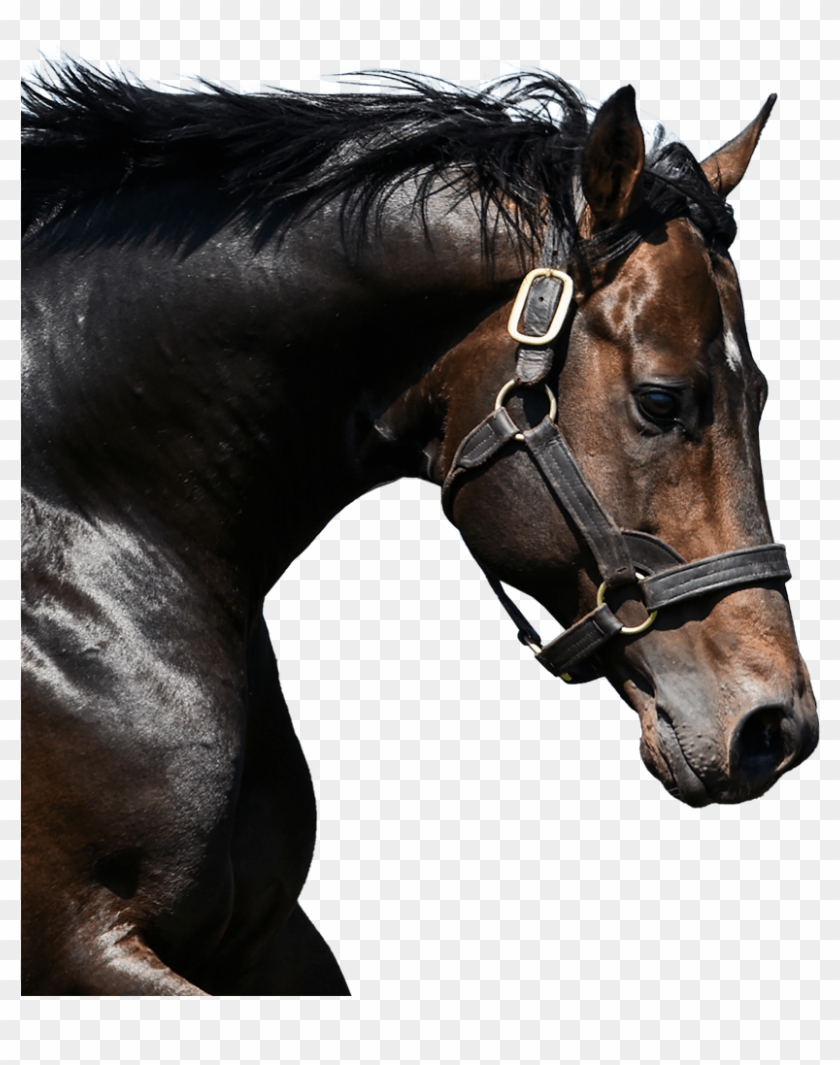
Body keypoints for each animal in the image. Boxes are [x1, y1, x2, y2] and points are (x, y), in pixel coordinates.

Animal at [21, 63, 817, 996]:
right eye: (662, 399)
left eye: (759, 393)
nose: (776, 727)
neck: (89, 517)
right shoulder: (81, 937)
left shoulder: (263, 932)